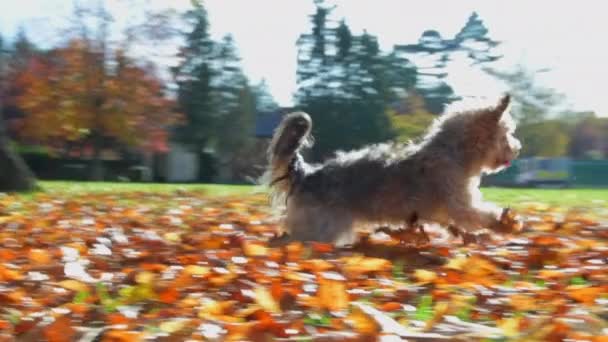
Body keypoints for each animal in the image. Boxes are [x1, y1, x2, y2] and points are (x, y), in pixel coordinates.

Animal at [264, 95, 524, 247]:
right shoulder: (462, 205)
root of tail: (306, 175)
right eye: (507, 133)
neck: (453, 152)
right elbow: (483, 215)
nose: (518, 148)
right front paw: (506, 223)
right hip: (321, 228)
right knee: (291, 239)